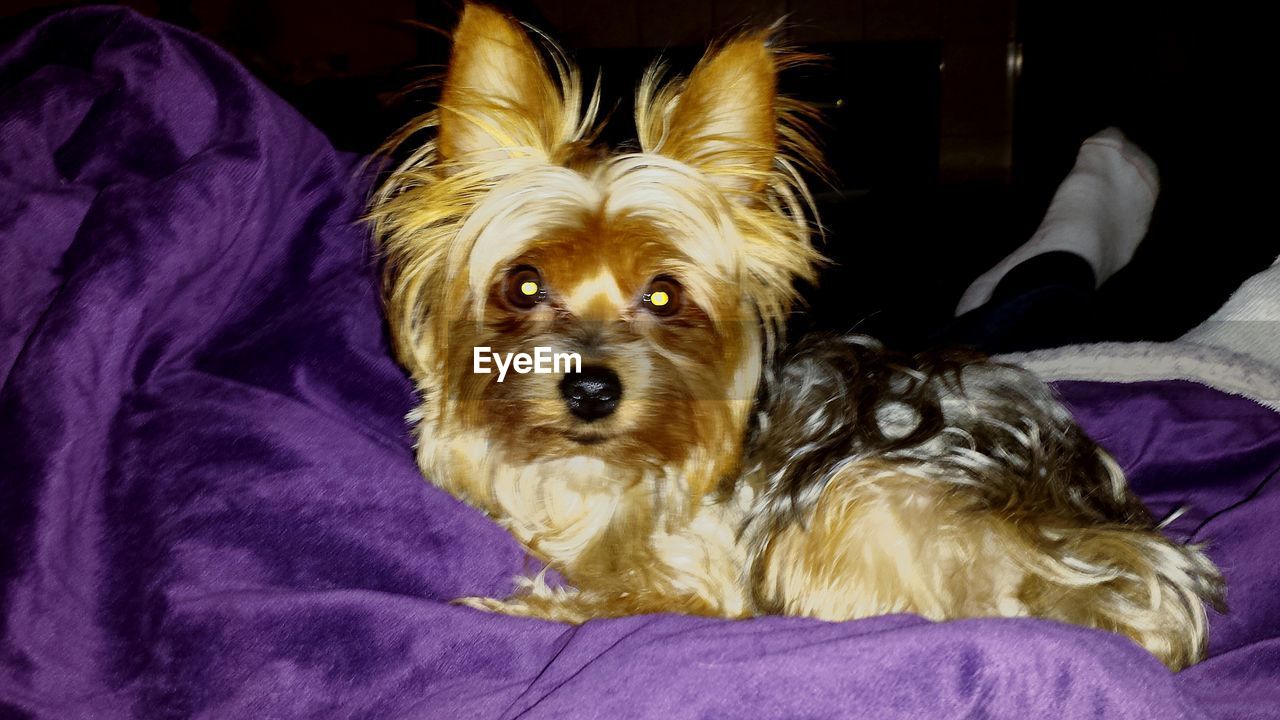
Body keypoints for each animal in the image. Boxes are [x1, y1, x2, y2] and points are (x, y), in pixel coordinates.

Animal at [366, 2, 1223, 671]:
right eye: (523, 283)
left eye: (666, 294)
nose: (590, 389)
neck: (592, 470)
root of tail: (1149, 566)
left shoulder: (709, 577)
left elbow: (627, 603)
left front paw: (512, 612)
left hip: (858, 498)